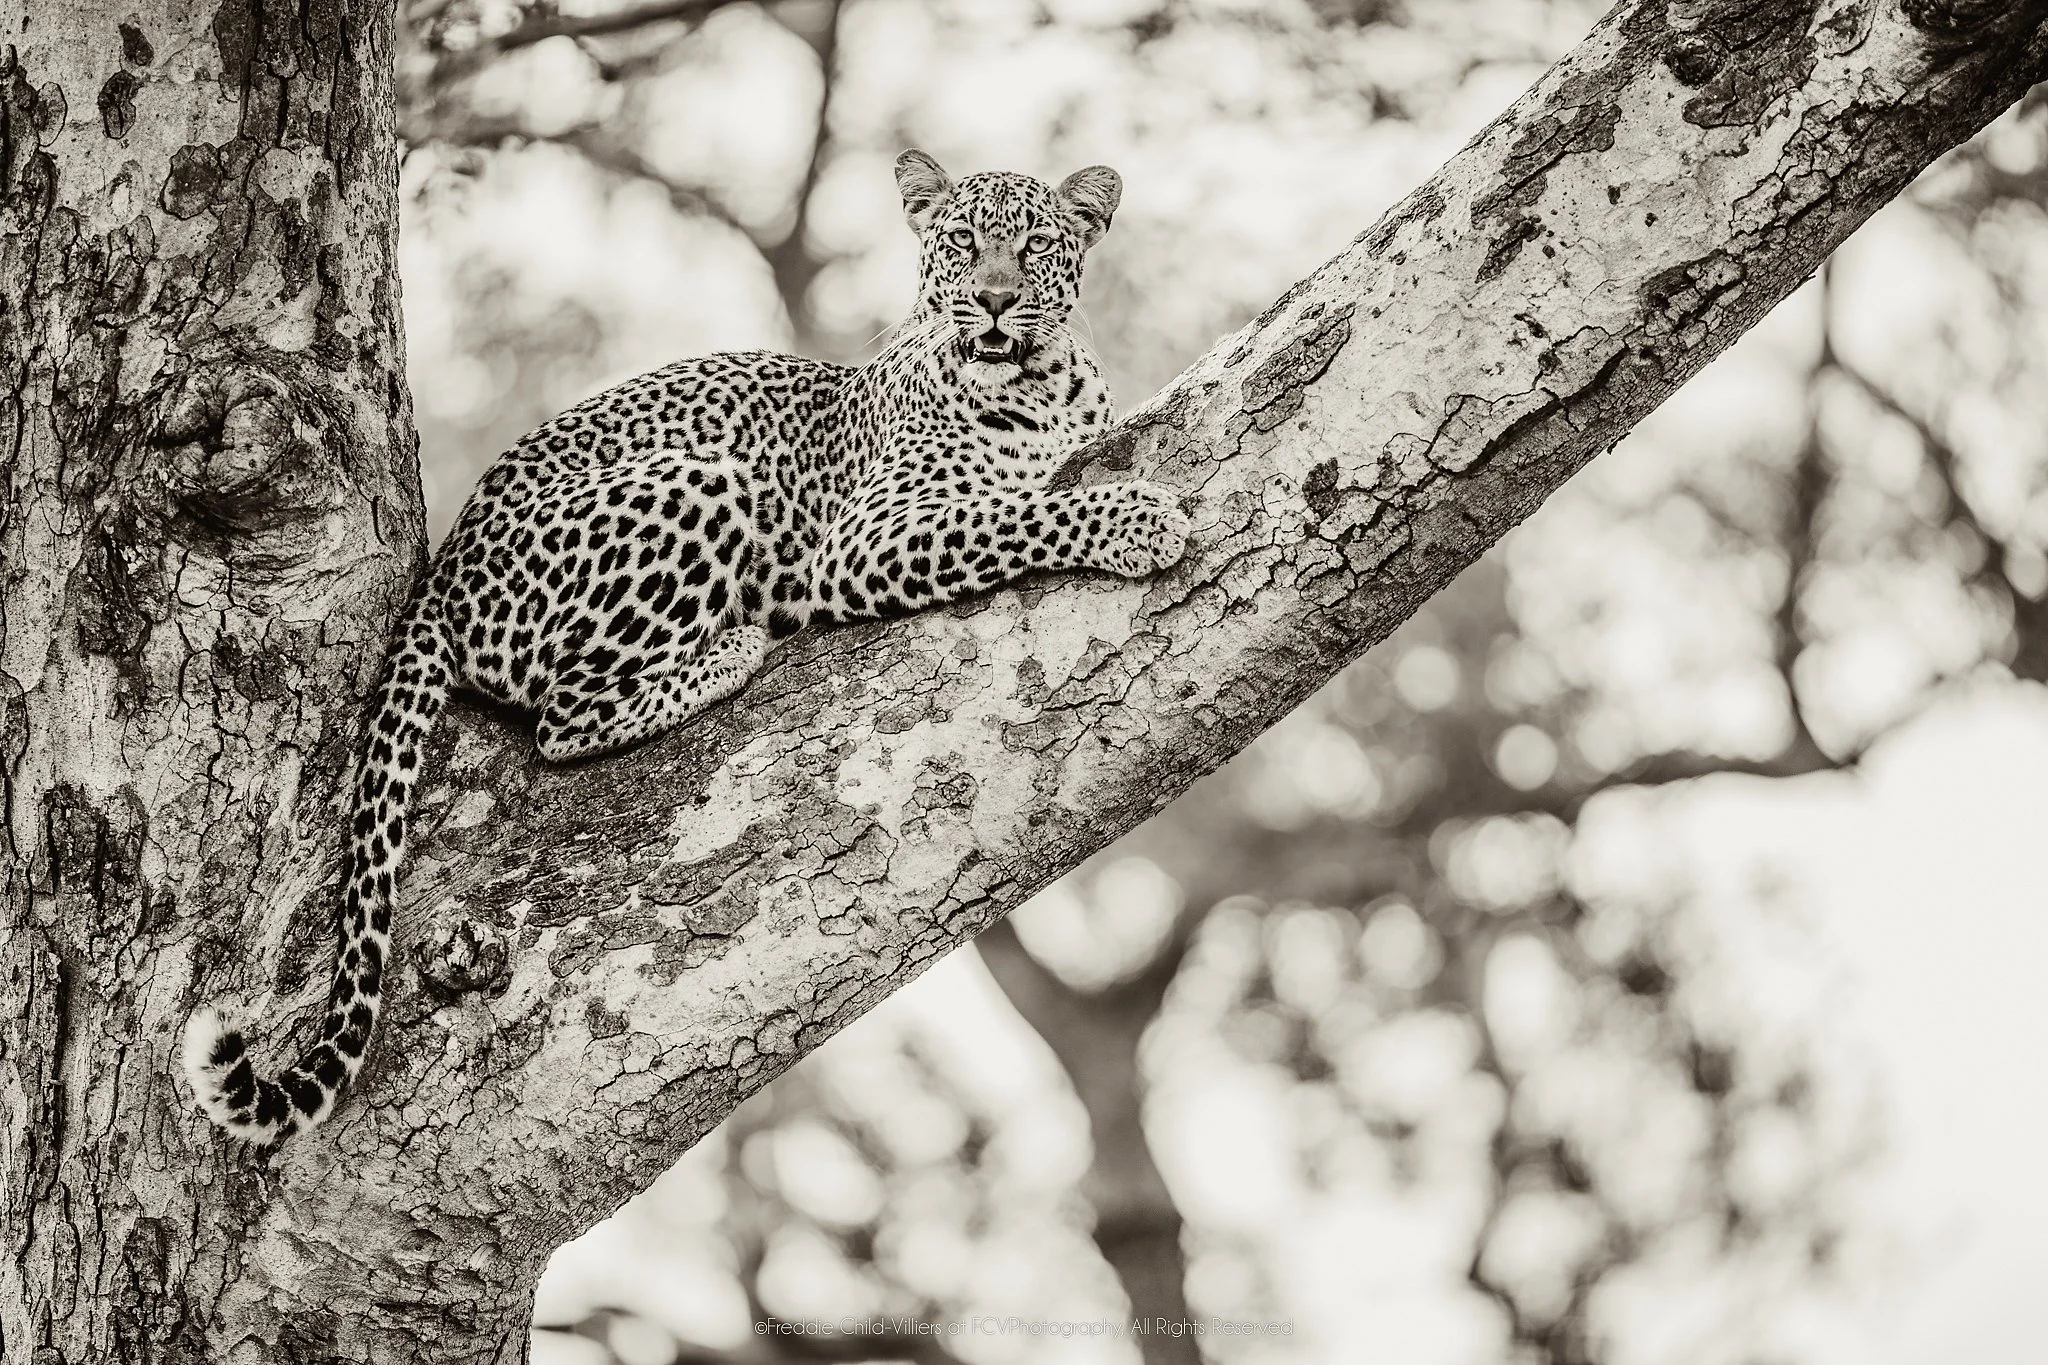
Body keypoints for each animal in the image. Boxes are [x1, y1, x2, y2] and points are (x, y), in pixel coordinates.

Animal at [182, 150, 1191, 1145]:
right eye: (960, 244)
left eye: (1036, 246)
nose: (991, 301)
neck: (1039, 385)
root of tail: (441, 574)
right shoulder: (863, 539)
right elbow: (1018, 513)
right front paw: (1137, 519)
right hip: (703, 478)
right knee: (561, 716)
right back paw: (731, 648)